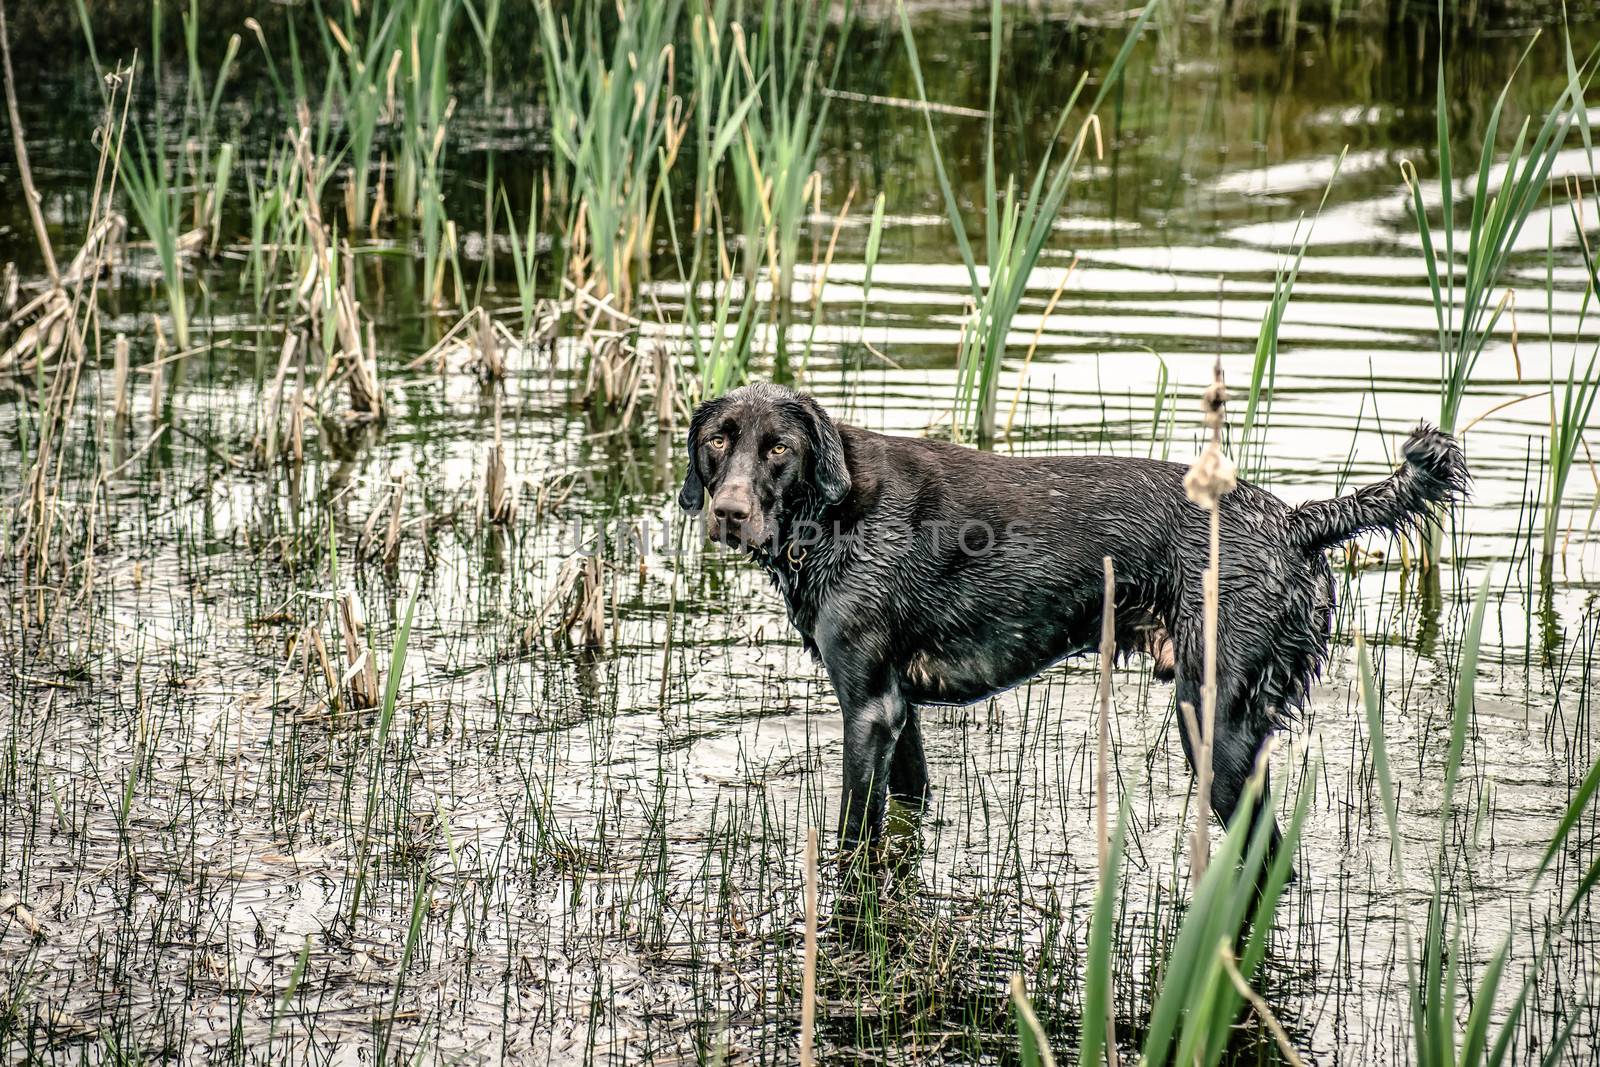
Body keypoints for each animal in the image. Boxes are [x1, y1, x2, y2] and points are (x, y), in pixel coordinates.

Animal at [668, 382, 1465, 857]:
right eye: (717, 441)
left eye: (779, 448)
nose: (728, 513)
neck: (835, 513)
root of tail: (1297, 520)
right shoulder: (896, 711)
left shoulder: (868, 711)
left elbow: (853, 845)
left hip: (1217, 726)